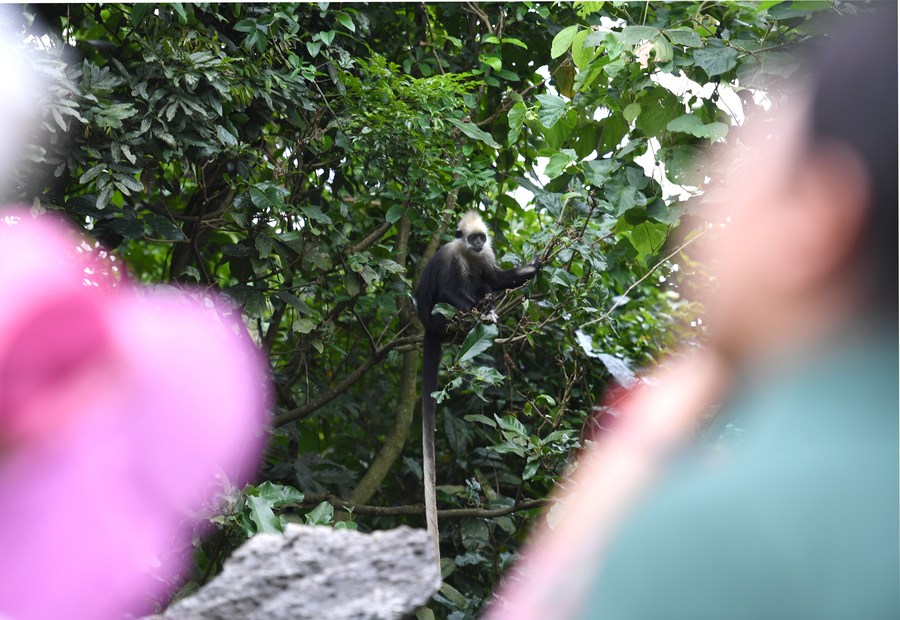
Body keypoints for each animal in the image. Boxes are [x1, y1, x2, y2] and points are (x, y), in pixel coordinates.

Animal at [414, 212, 540, 560]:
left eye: (482, 238)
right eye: (472, 238)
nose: (479, 242)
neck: (469, 254)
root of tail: (429, 327)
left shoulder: (485, 257)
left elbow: (496, 279)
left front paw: (528, 270)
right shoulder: (452, 257)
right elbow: (449, 287)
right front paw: (479, 311)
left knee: (483, 283)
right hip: (435, 316)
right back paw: (472, 315)